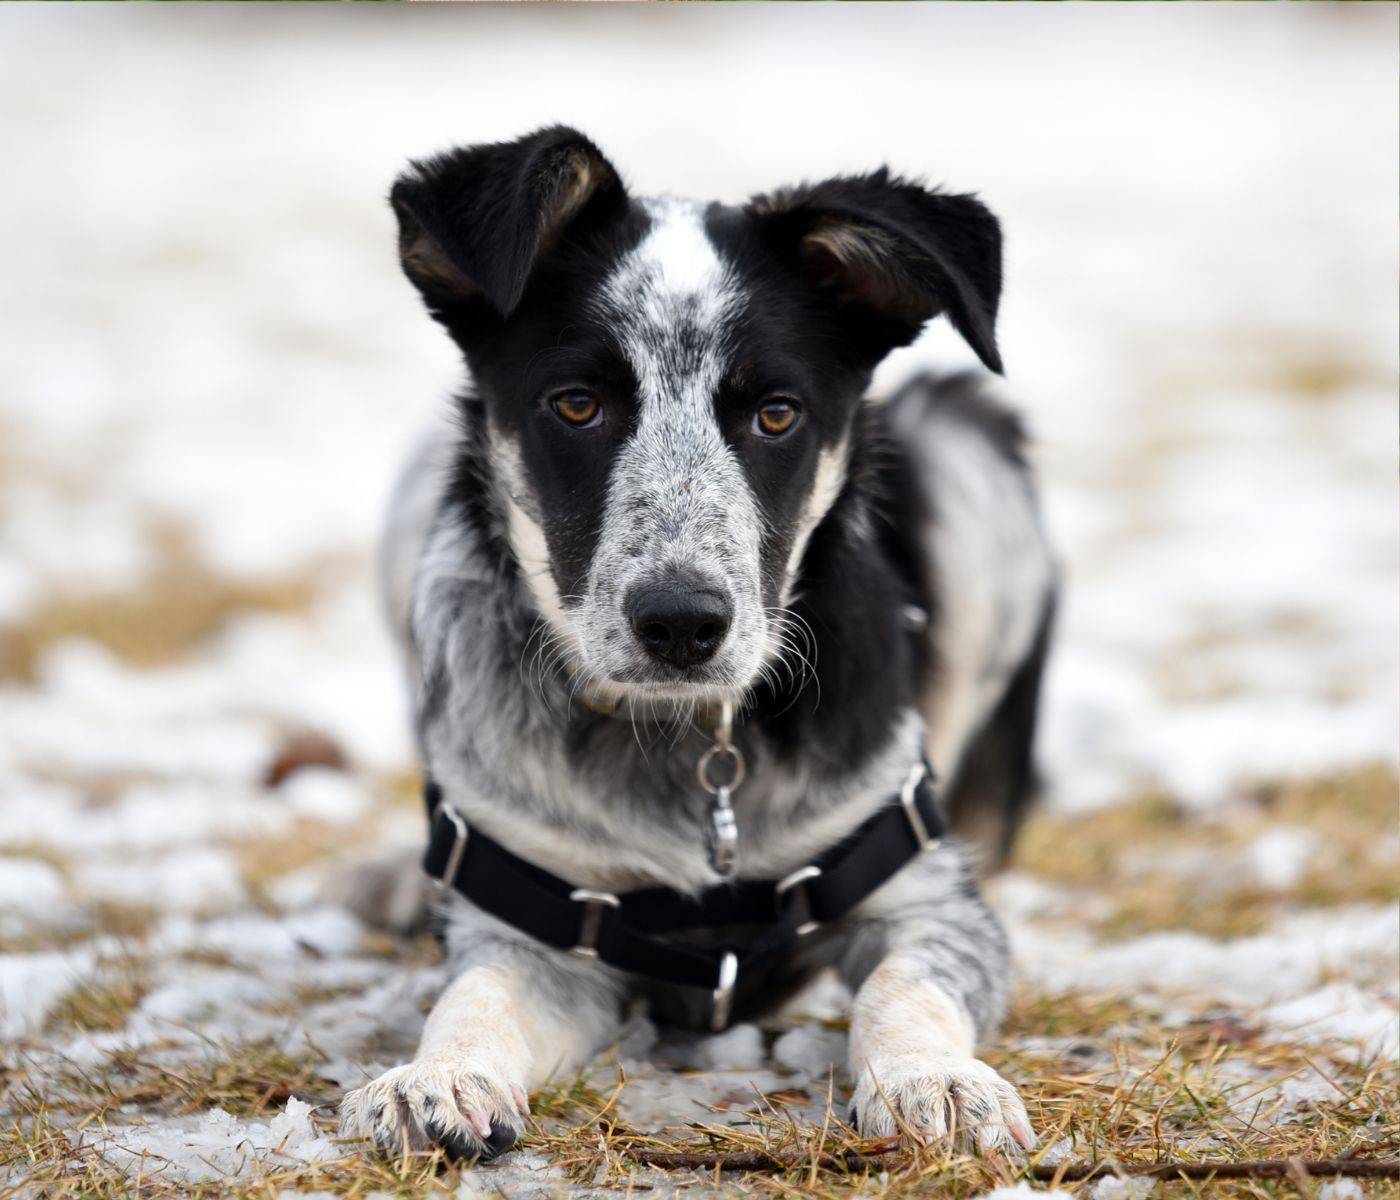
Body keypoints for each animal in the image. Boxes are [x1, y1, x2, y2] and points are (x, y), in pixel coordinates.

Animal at [338, 123, 1052, 1159]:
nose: (680, 622)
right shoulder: (547, 931)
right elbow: (476, 994)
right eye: (577, 404)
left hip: (967, 442)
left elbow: (905, 985)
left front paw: (937, 1080)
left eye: (776, 414)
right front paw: (436, 1079)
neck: (689, 747)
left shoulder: (923, 896)